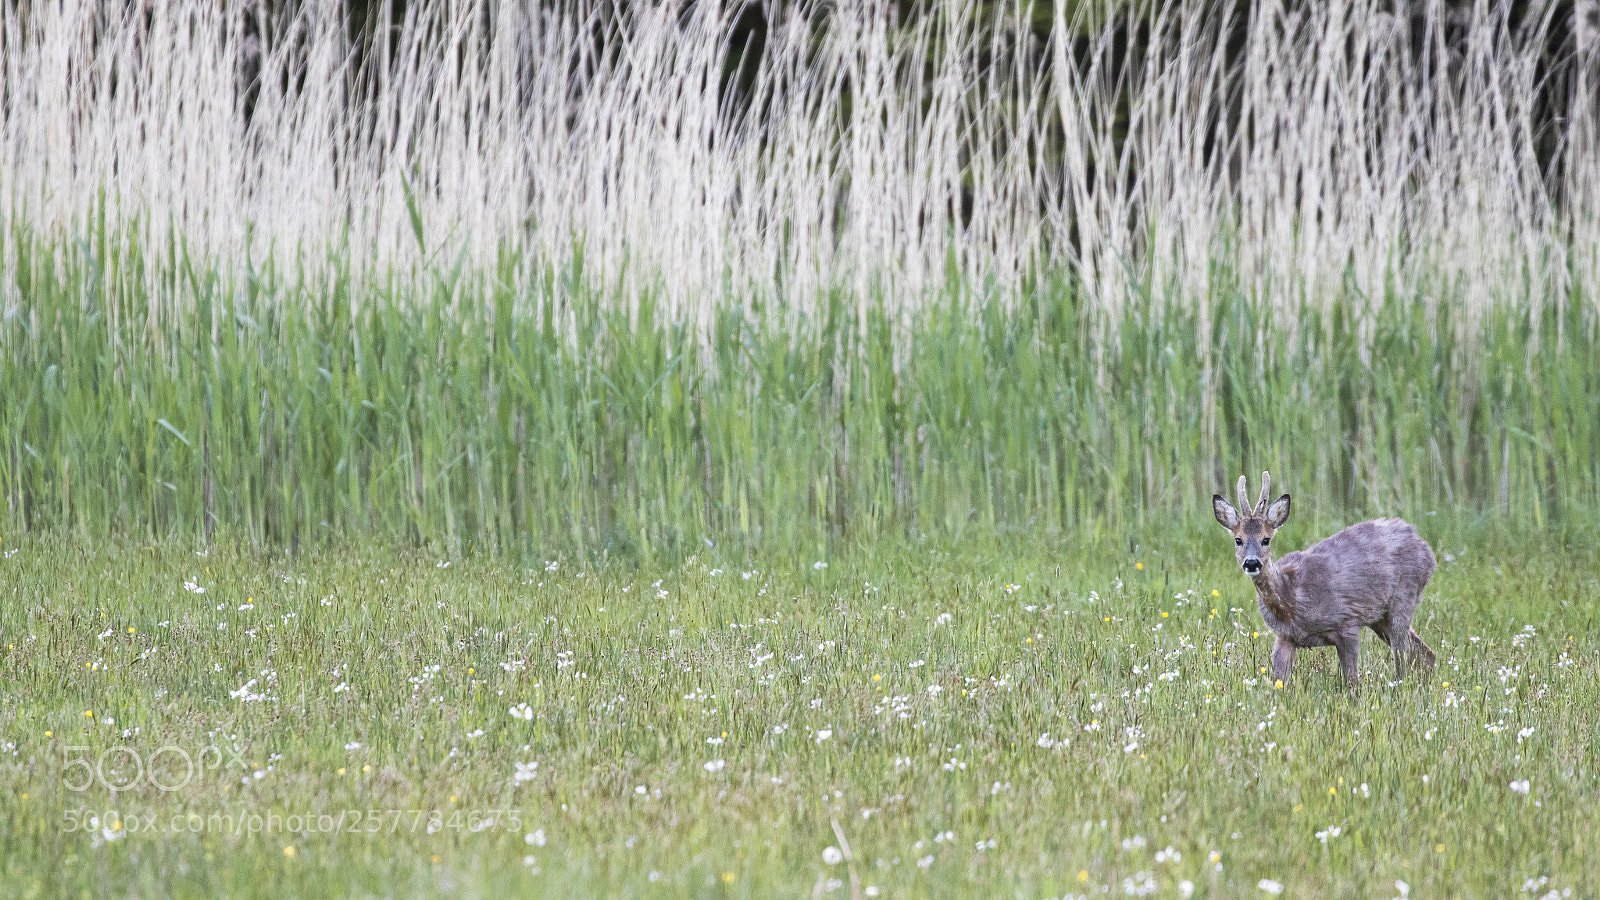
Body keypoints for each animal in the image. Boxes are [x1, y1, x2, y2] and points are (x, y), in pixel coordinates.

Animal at [1212, 472, 1437, 688]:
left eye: (1265, 539)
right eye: (1238, 540)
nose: (1251, 563)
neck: (1292, 601)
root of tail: (1426, 549)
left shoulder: (1347, 623)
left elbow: (1352, 681)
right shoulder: (1284, 637)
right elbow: (1278, 683)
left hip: (1404, 598)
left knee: (1404, 659)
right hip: (1380, 618)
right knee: (1426, 654)